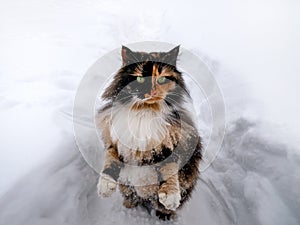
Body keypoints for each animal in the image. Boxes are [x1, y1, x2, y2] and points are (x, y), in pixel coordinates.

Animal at [96, 45, 202, 220]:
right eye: (139, 79)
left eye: (162, 79)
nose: (152, 92)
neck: (144, 112)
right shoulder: (115, 141)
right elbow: (110, 161)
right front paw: (105, 187)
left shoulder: (174, 142)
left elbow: (170, 169)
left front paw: (170, 197)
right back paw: (129, 204)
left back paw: (164, 214)